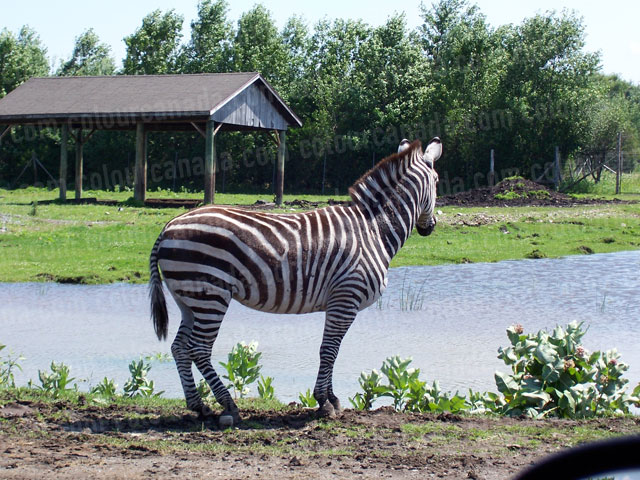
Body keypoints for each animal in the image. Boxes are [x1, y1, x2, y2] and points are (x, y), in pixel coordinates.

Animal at [149, 138, 442, 427]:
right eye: (437, 180)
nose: (430, 227)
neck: (373, 229)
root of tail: (169, 226)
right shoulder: (346, 297)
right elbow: (329, 350)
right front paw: (324, 402)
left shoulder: (338, 302)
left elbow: (331, 350)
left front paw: (331, 398)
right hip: (211, 295)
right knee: (198, 348)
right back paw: (229, 406)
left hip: (188, 299)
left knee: (179, 348)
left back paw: (199, 405)